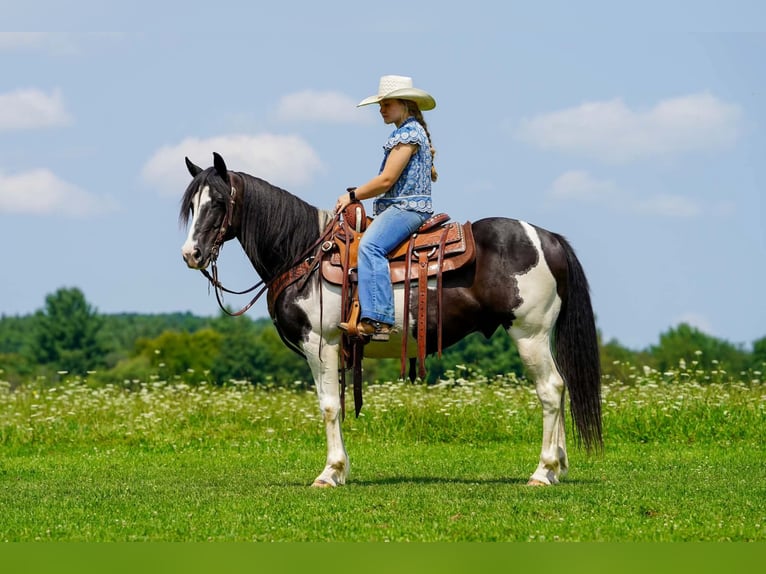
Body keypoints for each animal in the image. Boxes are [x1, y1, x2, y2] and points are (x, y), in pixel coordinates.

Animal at [179, 152, 602, 487]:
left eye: (218, 202)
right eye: (192, 204)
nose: (191, 254)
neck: (303, 253)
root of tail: (547, 238)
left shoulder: (321, 344)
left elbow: (329, 406)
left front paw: (330, 473)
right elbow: (331, 404)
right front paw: (339, 471)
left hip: (528, 334)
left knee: (550, 389)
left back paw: (542, 472)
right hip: (541, 336)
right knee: (561, 386)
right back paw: (558, 467)